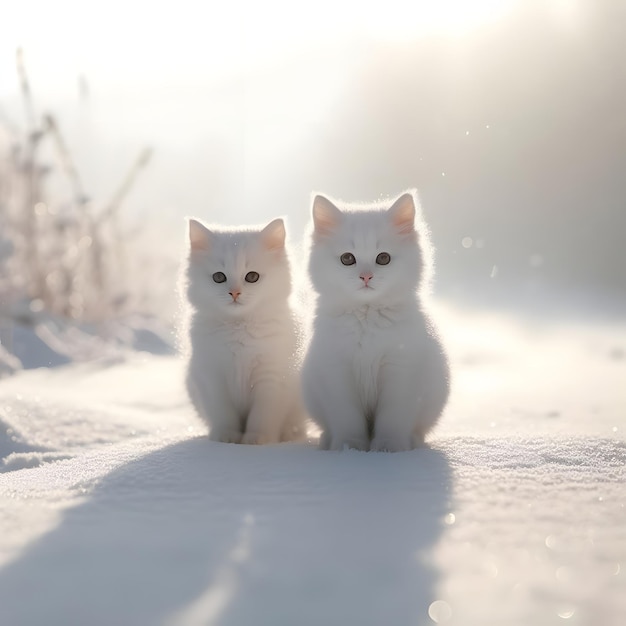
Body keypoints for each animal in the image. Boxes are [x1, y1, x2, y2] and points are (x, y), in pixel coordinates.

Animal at [183, 217, 304, 442]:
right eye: (219, 277)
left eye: (252, 277)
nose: (235, 293)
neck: (238, 327)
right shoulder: (212, 376)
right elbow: (224, 414)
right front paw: (226, 437)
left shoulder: (272, 377)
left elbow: (262, 415)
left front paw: (257, 439)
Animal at [300, 189, 446, 448]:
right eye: (347, 258)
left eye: (383, 258)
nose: (366, 276)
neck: (366, 317)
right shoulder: (337, 371)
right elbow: (347, 419)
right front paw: (349, 447)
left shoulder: (400, 369)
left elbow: (393, 418)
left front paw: (389, 447)